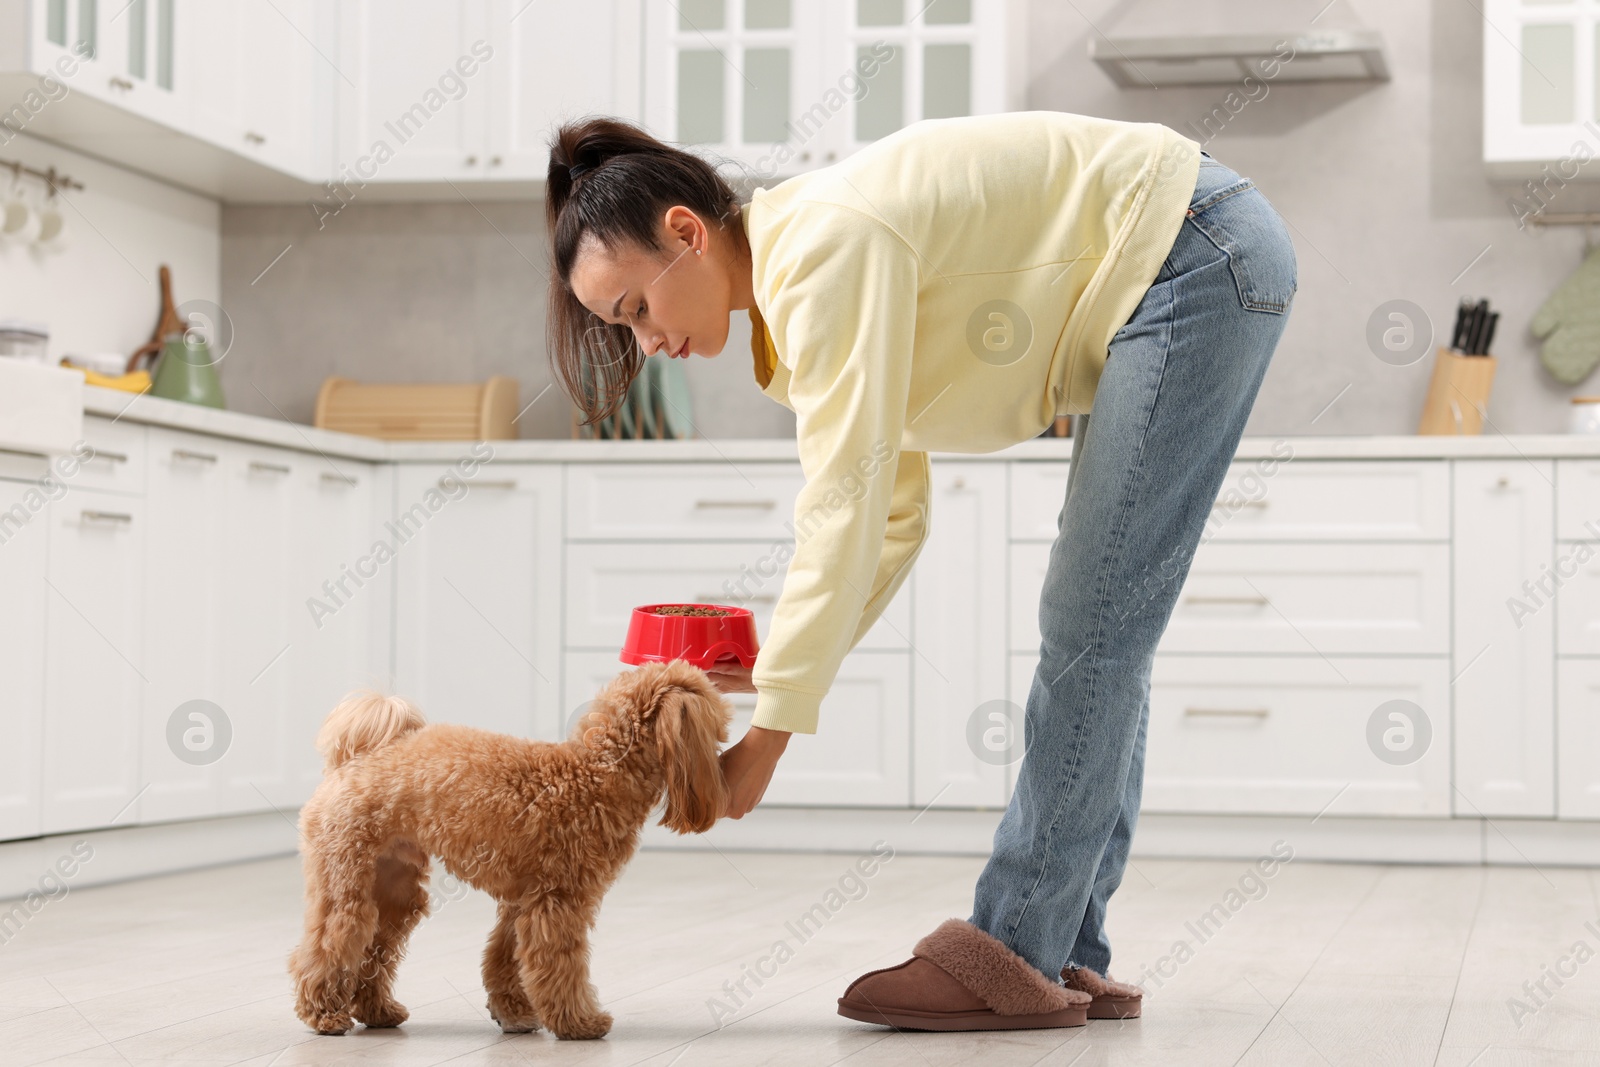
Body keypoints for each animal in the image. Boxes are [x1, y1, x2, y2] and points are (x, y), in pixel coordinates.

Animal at [288, 659, 732, 1043]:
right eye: (716, 724)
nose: (725, 764)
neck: (595, 772)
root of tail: (353, 761)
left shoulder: (521, 903)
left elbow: (504, 961)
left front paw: (514, 1014)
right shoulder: (558, 902)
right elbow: (560, 966)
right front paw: (579, 1024)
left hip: (395, 893)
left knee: (374, 950)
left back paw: (378, 1011)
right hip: (346, 884)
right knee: (328, 944)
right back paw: (323, 1015)